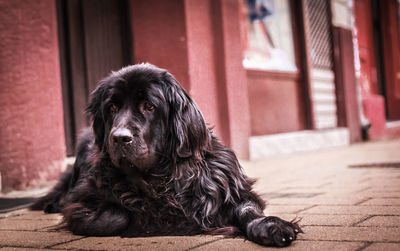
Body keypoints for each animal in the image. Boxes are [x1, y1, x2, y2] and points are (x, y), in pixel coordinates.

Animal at [30, 63, 300, 246]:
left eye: (149, 106)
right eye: (112, 108)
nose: (119, 138)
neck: (162, 175)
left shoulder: (230, 189)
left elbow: (249, 210)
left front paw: (272, 226)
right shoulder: (84, 200)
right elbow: (114, 216)